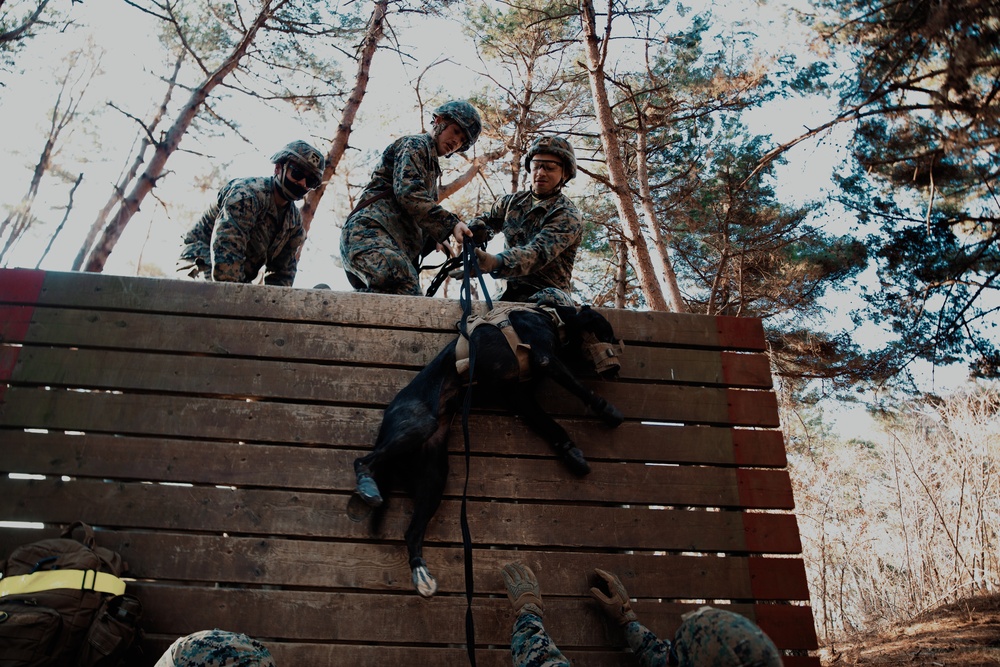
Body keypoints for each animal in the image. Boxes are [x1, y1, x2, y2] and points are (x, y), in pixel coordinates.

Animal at [348, 294, 620, 596]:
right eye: (607, 334)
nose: (617, 371)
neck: (550, 315)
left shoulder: (520, 395)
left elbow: (550, 424)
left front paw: (571, 452)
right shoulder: (546, 360)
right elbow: (583, 390)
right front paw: (608, 412)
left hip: (434, 476)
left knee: (411, 532)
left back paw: (421, 573)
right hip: (419, 426)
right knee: (362, 461)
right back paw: (367, 484)